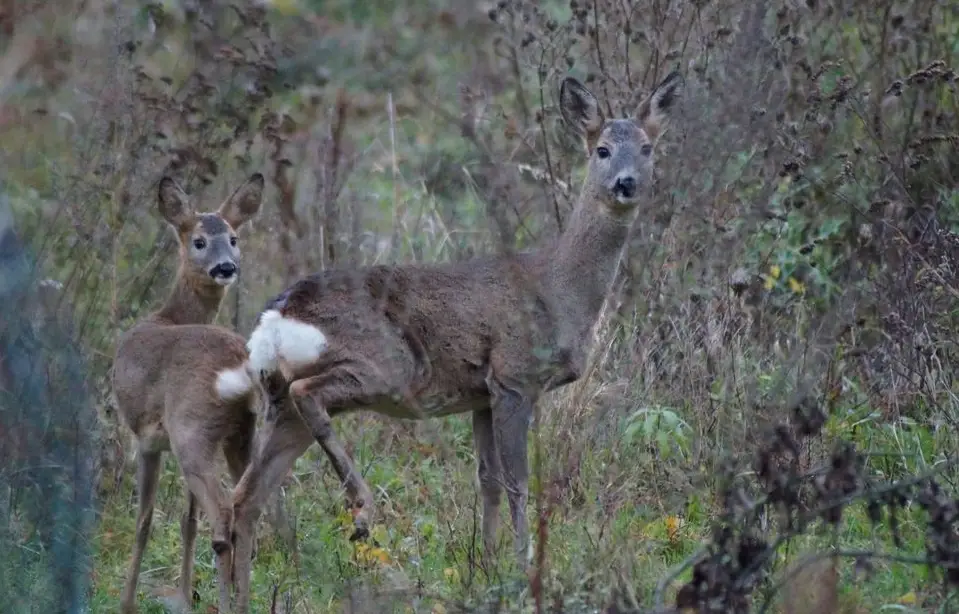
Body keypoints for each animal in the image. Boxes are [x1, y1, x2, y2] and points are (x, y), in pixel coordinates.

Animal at [116, 174, 266, 614]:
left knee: (224, 514)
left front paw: (127, 602)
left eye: (233, 238)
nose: (226, 267)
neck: (169, 316)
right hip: (241, 433)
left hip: (191, 432)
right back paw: (242, 602)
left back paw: (228, 602)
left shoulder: (147, 438)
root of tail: (239, 366)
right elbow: (187, 521)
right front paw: (184, 595)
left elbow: (144, 521)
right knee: (245, 510)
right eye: (199, 241)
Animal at [231, 71, 684, 612]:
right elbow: (516, 482)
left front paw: (486, 566)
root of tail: (278, 314)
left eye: (647, 147)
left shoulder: (480, 395)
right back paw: (362, 512)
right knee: (308, 398)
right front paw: (524, 566)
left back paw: (245, 587)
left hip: (279, 400)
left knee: (246, 494)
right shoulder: (514, 377)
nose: (626, 183)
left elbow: (487, 481)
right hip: (384, 366)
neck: (558, 289)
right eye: (601, 149)